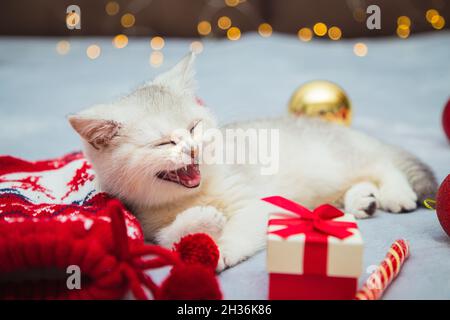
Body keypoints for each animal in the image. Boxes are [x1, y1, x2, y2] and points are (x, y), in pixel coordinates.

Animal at [68, 52, 438, 270]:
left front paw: (221, 248)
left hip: (334, 161)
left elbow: (242, 226)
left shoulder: (255, 202)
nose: (192, 149)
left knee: (382, 164)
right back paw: (362, 199)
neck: (194, 194)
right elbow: (168, 239)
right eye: (165, 142)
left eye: (193, 127)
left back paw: (394, 193)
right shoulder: (147, 224)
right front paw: (201, 223)